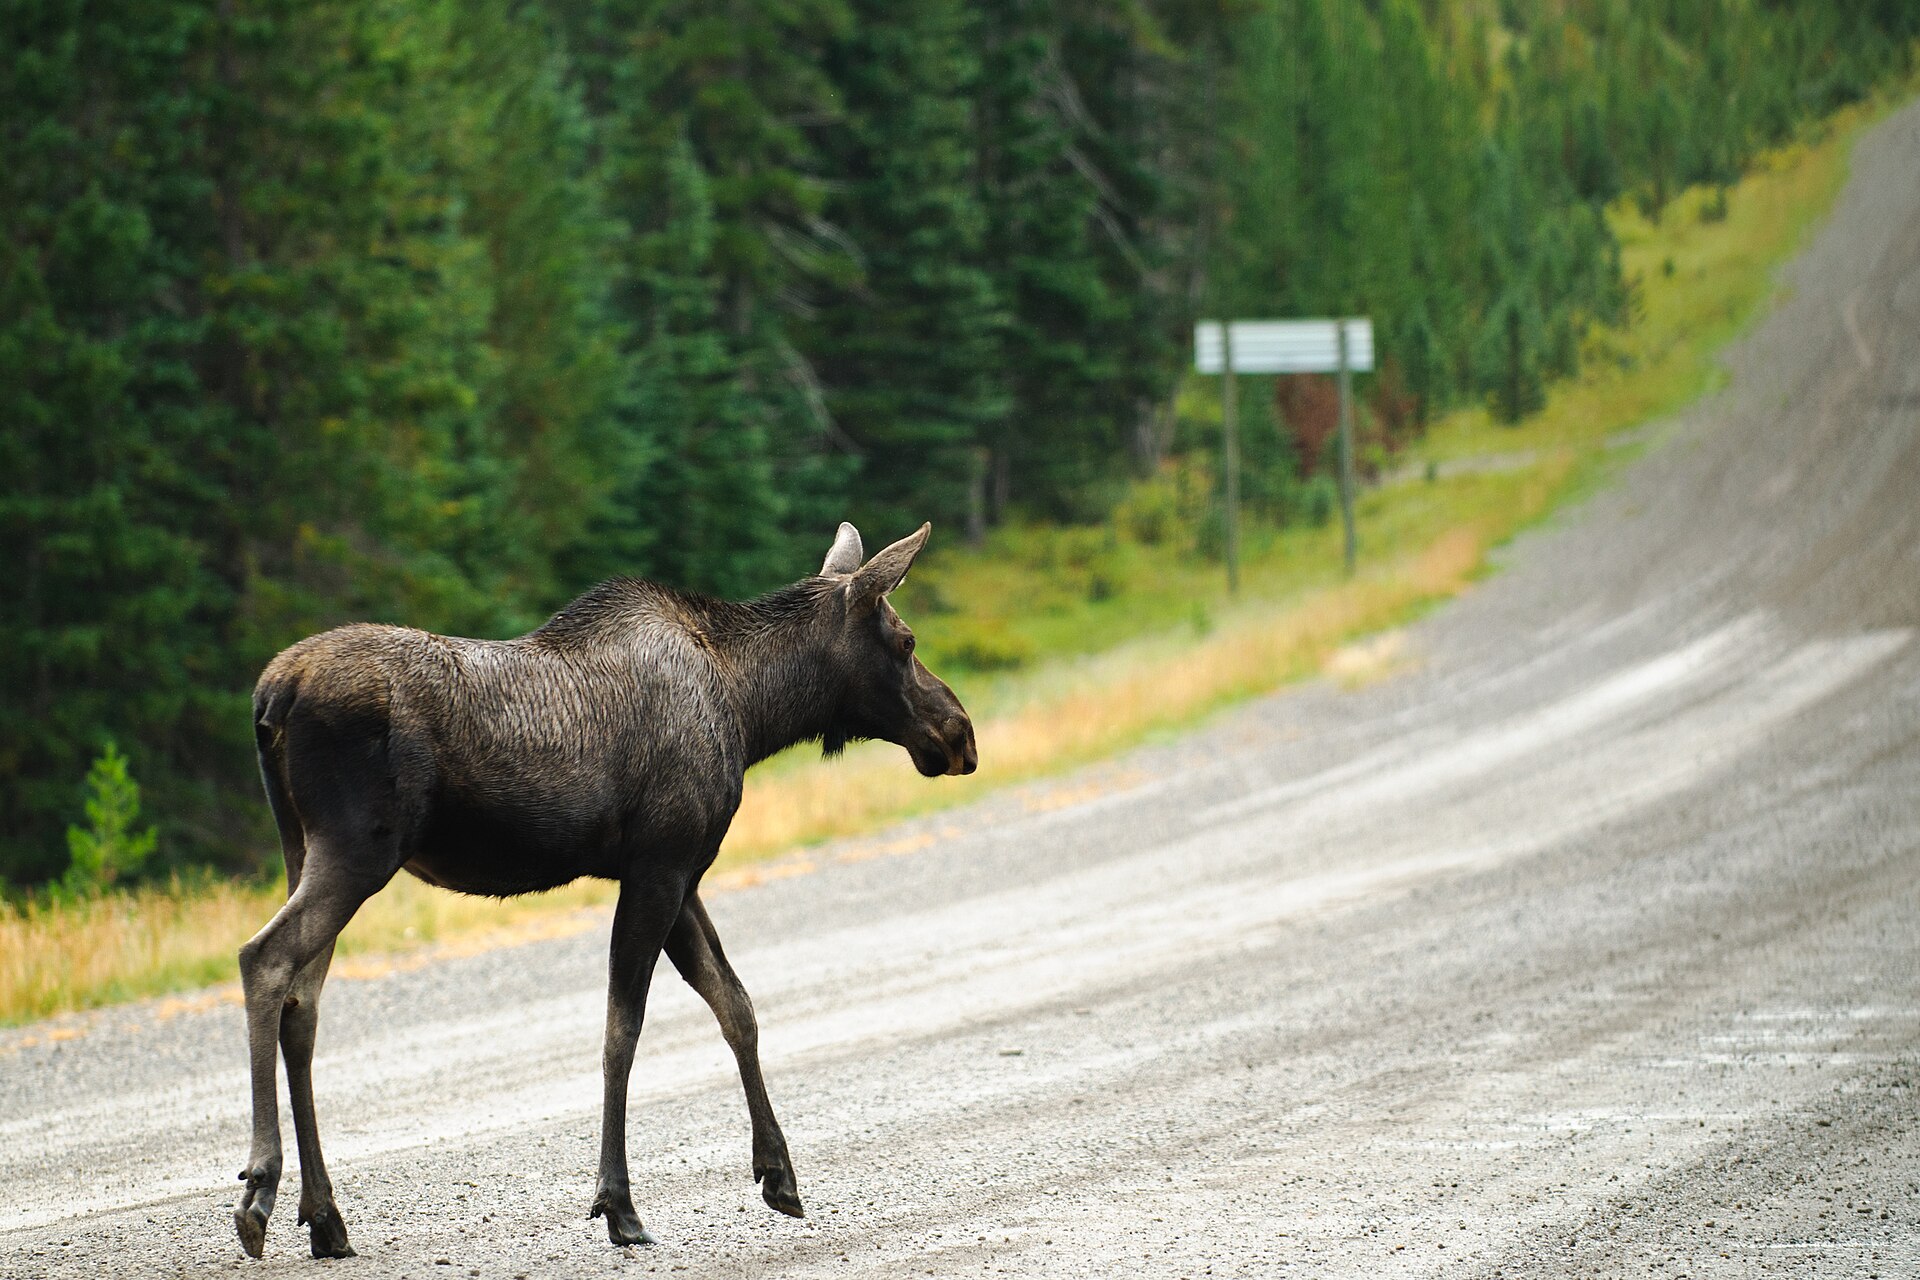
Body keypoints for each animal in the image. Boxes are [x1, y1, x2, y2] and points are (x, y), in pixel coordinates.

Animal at [232, 522, 976, 1259]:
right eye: (906, 641)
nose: (960, 734)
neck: (751, 709)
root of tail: (271, 694)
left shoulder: (681, 871)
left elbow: (735, 1003)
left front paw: (778, 1173)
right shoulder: (659, 865)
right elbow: (624, 1029)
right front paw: (618, 1204)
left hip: (304, 847)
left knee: (304, 1003)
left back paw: (325, 1216)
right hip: (359, 848)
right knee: (263, 958)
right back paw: (260, 1189)